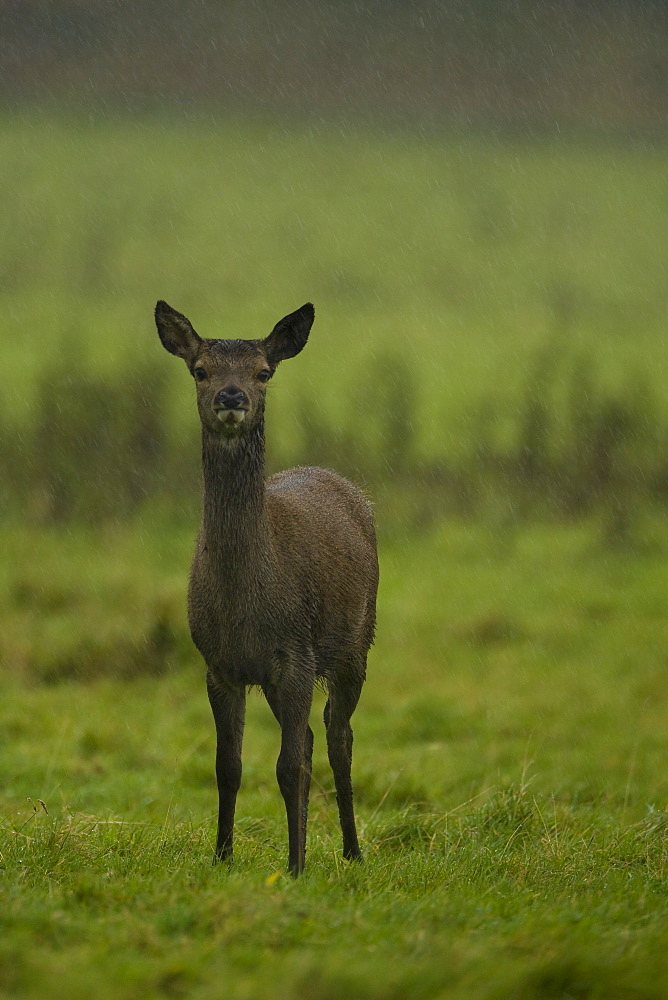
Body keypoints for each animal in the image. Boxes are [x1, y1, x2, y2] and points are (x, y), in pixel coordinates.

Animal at [153, 298, 378, 876]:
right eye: (200, 370)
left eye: (263, 372)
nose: (232, 397)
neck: (246, 605)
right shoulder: (218, 665)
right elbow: (227, 765)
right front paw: (222, 856)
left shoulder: (294, 655)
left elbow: (288, 766)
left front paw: (296, 868)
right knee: (313, 736)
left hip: (356, 643)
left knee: (338, 737)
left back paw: (352, 850)